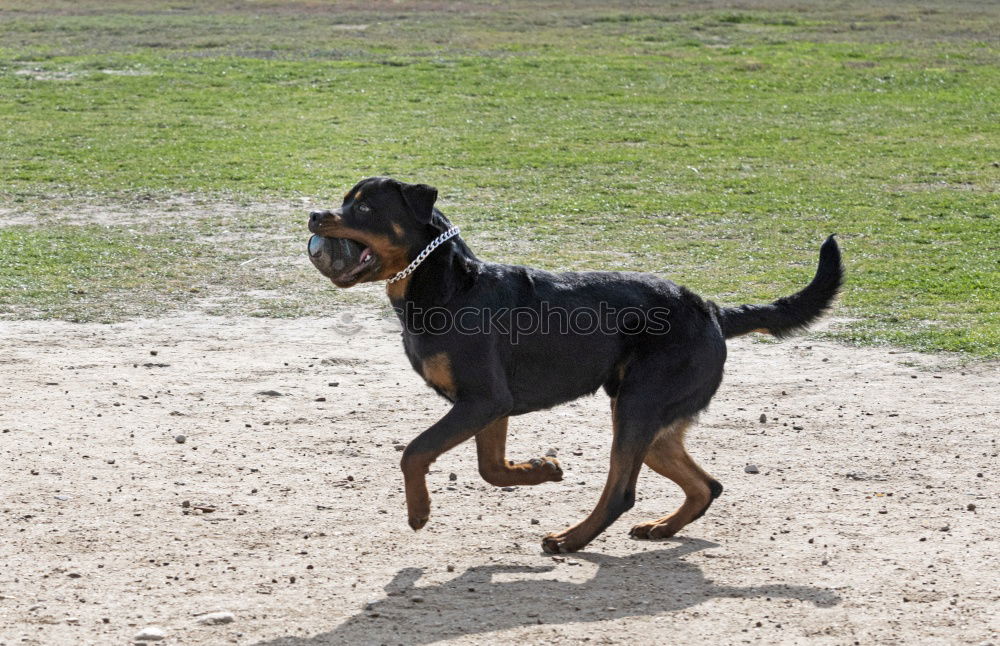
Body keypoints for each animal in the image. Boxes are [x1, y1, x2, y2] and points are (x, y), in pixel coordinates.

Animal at [306, 178, 844, 556]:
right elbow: (491, 468)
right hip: (654, 422)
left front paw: (419, 511)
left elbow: (415, 451)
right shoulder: (490, 406)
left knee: (621, 492)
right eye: (344, 199)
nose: (314, 215)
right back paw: (661, 527)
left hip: (637, 407)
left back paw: (571, 539)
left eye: (365, 208)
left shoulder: (483, 399)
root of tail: (713, 310)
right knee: (705, 485)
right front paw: (541, 470)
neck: (447, 288)